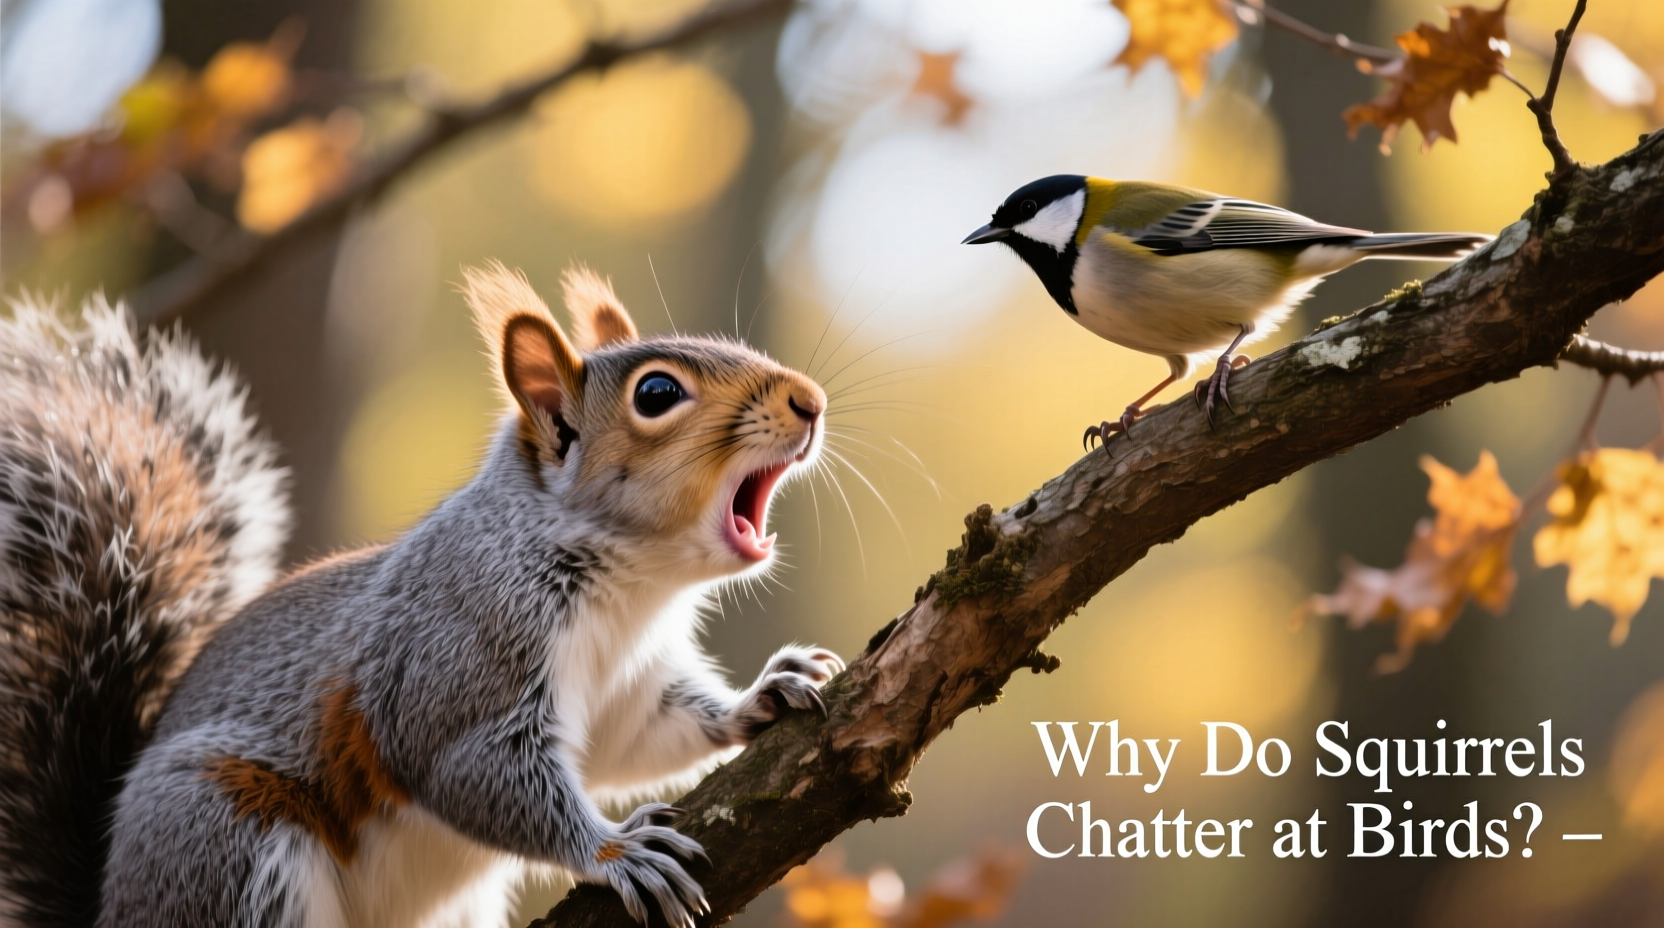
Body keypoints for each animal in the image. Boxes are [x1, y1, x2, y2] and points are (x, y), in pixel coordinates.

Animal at [0, 262, 843, 928]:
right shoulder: (462, 648)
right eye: (659, 392)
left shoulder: (627, 690)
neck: (630, 586)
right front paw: (615, 849)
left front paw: (765, 694)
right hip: (227, 837)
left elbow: (640, 736)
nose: (811, 399)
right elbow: (466, 765)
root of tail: (112, 906)